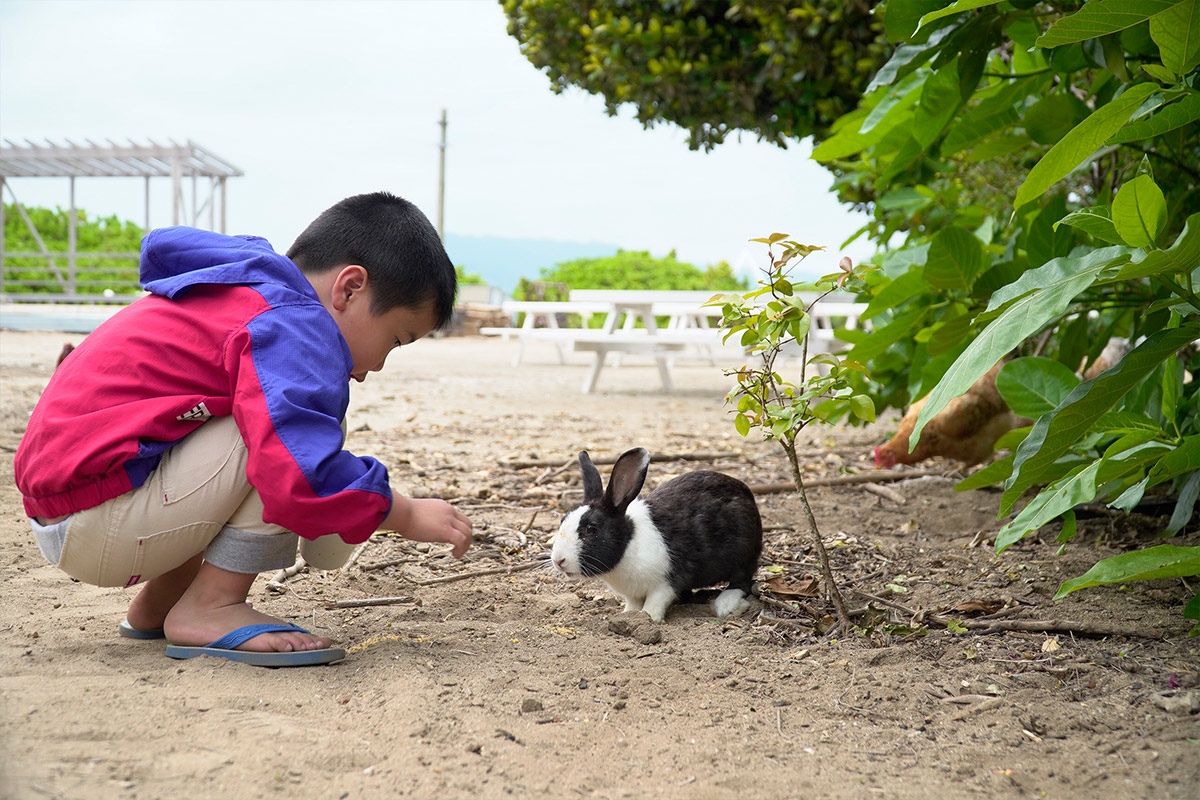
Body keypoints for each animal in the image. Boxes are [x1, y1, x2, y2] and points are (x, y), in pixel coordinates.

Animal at [549, 448, 758, 623]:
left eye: (591, 528)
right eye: (562, 520)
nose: (558, 560)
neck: (629, 543)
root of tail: (747, 495)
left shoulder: (665, 583)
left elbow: (655, 602)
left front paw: (647, 618)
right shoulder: (632, 593)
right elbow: (633, 604)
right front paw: (627, 615)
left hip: (742, 553)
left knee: (743, 580)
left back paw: (725, 604)